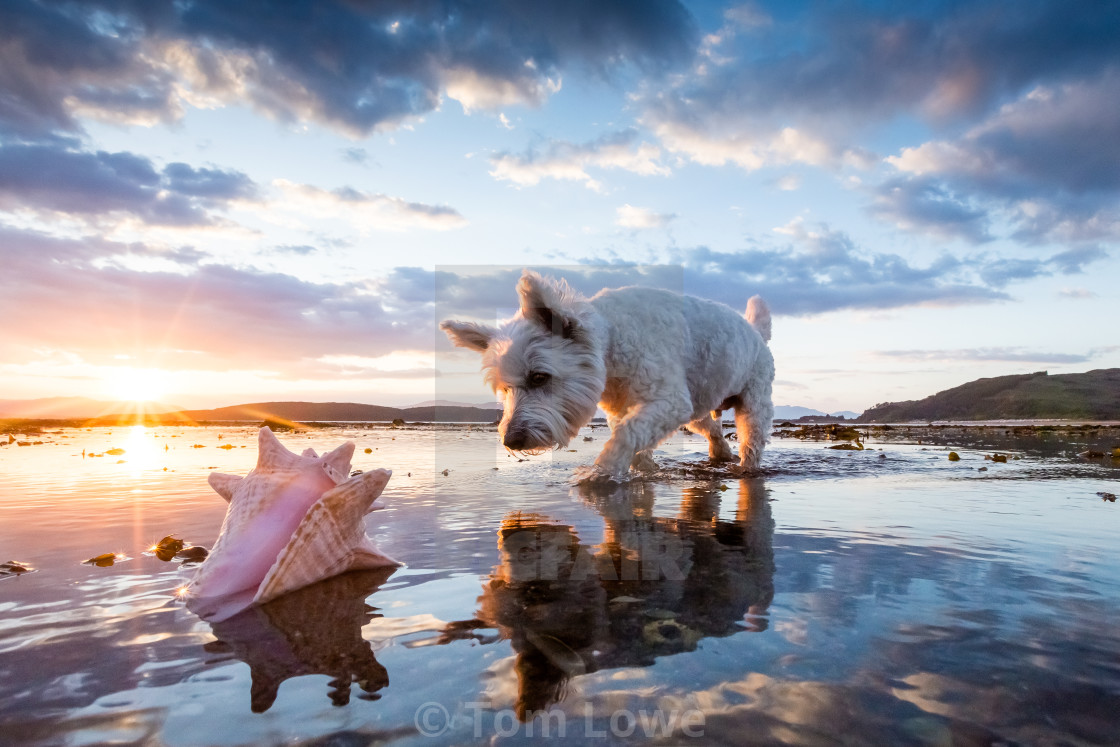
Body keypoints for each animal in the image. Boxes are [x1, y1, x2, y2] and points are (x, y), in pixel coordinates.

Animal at [441, 272, 775, 481]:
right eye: (504, 389)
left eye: (538, 377)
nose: (510, 441)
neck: (613, 341)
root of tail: (755, 333)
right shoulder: (626, 408)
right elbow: (632, 438)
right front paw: (643, 470)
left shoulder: (667, 402)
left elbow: (626, 435)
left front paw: (600, 473)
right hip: (698, 404)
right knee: (713, 429)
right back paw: (720, 454)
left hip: (753, 404)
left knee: (751, 441)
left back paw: (745, 466)